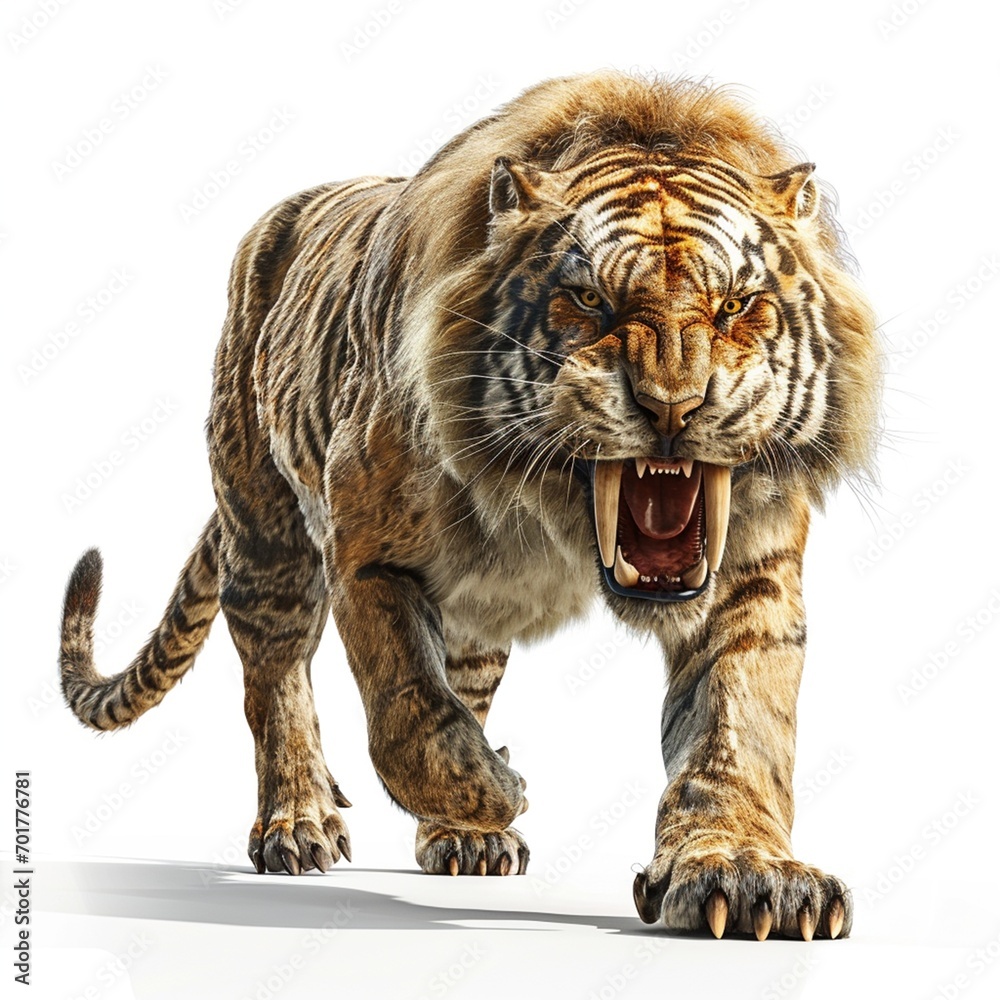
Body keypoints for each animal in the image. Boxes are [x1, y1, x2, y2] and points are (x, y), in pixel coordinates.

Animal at [59, 70, 879, 940]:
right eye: (589, 300)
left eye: (735, 307)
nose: (673, 405)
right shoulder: (366, 555)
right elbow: (407, 718)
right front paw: (497, 790)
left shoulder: (748, 576)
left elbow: (739, 723)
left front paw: (751, 876)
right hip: (265, 535)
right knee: (275, 680)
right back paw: (300, 824)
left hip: (472, 613)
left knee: (465, 680)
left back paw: (465, 840)